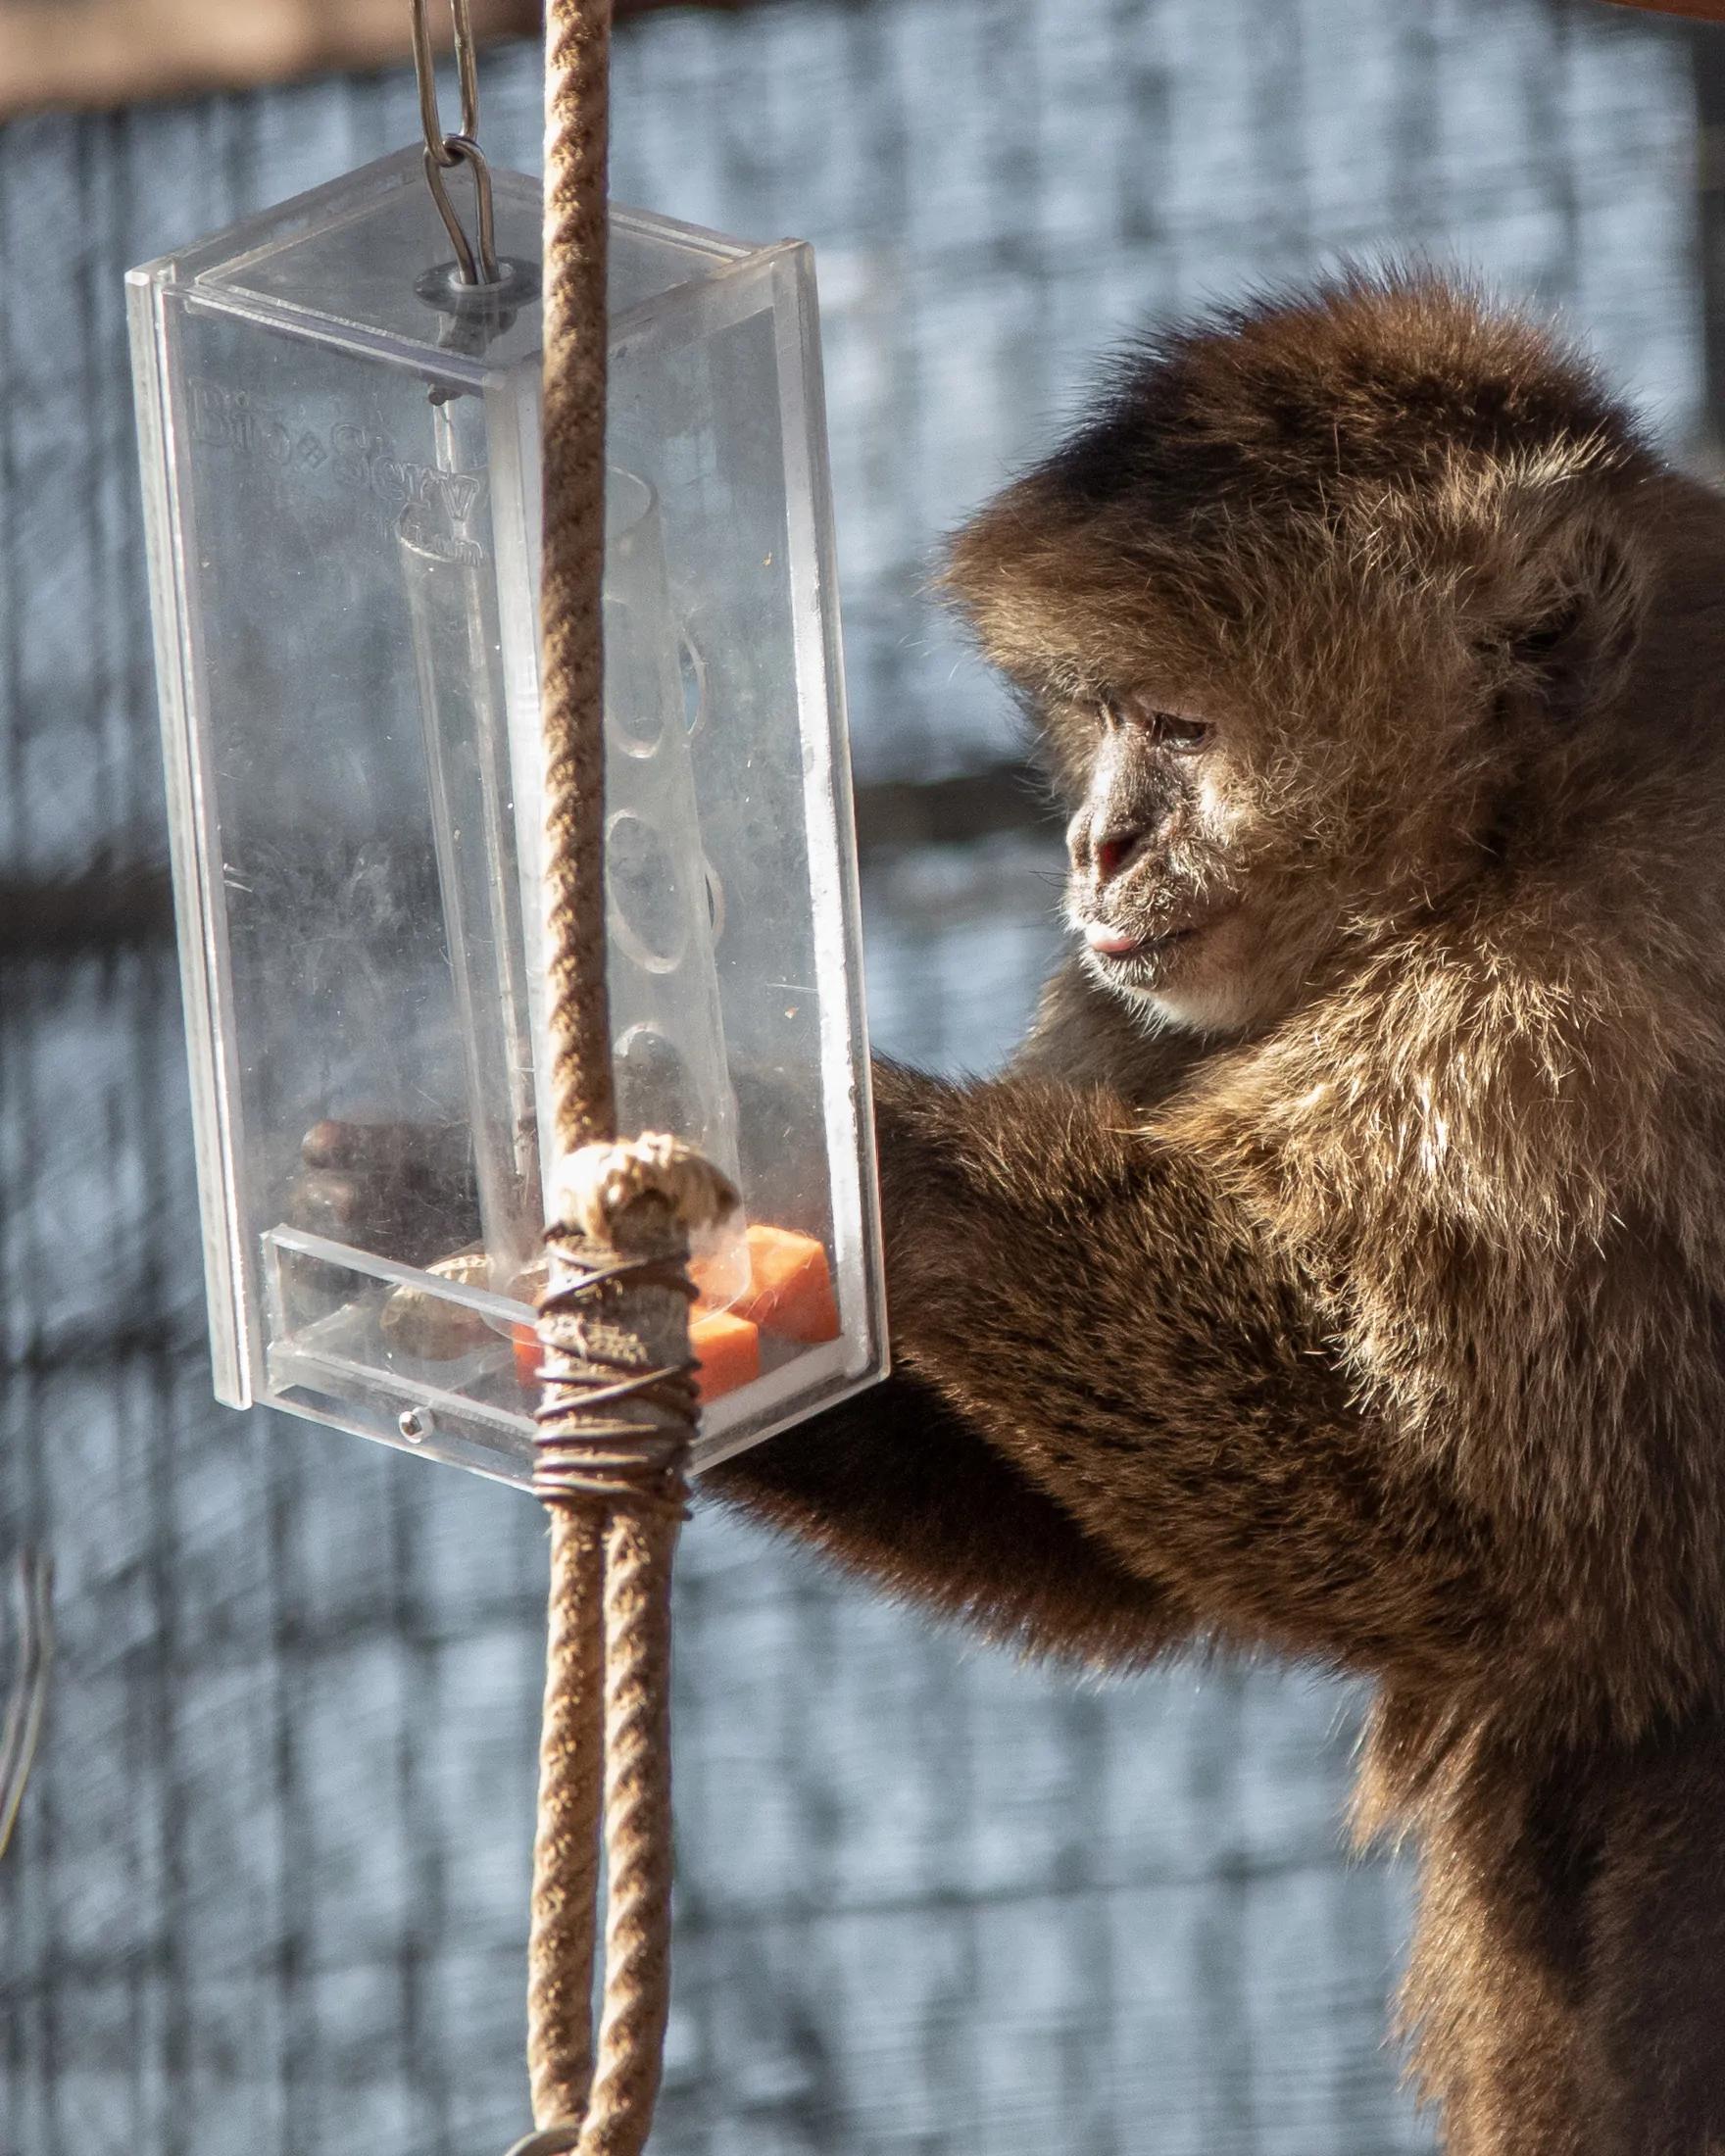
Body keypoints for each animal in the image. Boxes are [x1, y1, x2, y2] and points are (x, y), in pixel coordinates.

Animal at [701, 274, 1725, 2156]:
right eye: (1103, 719)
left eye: (1178, 731)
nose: (1095, 849)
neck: (1515, 840)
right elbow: (1126, 1565)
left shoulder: (1594, 966)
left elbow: (1486, 1542)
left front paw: (906, 1170)